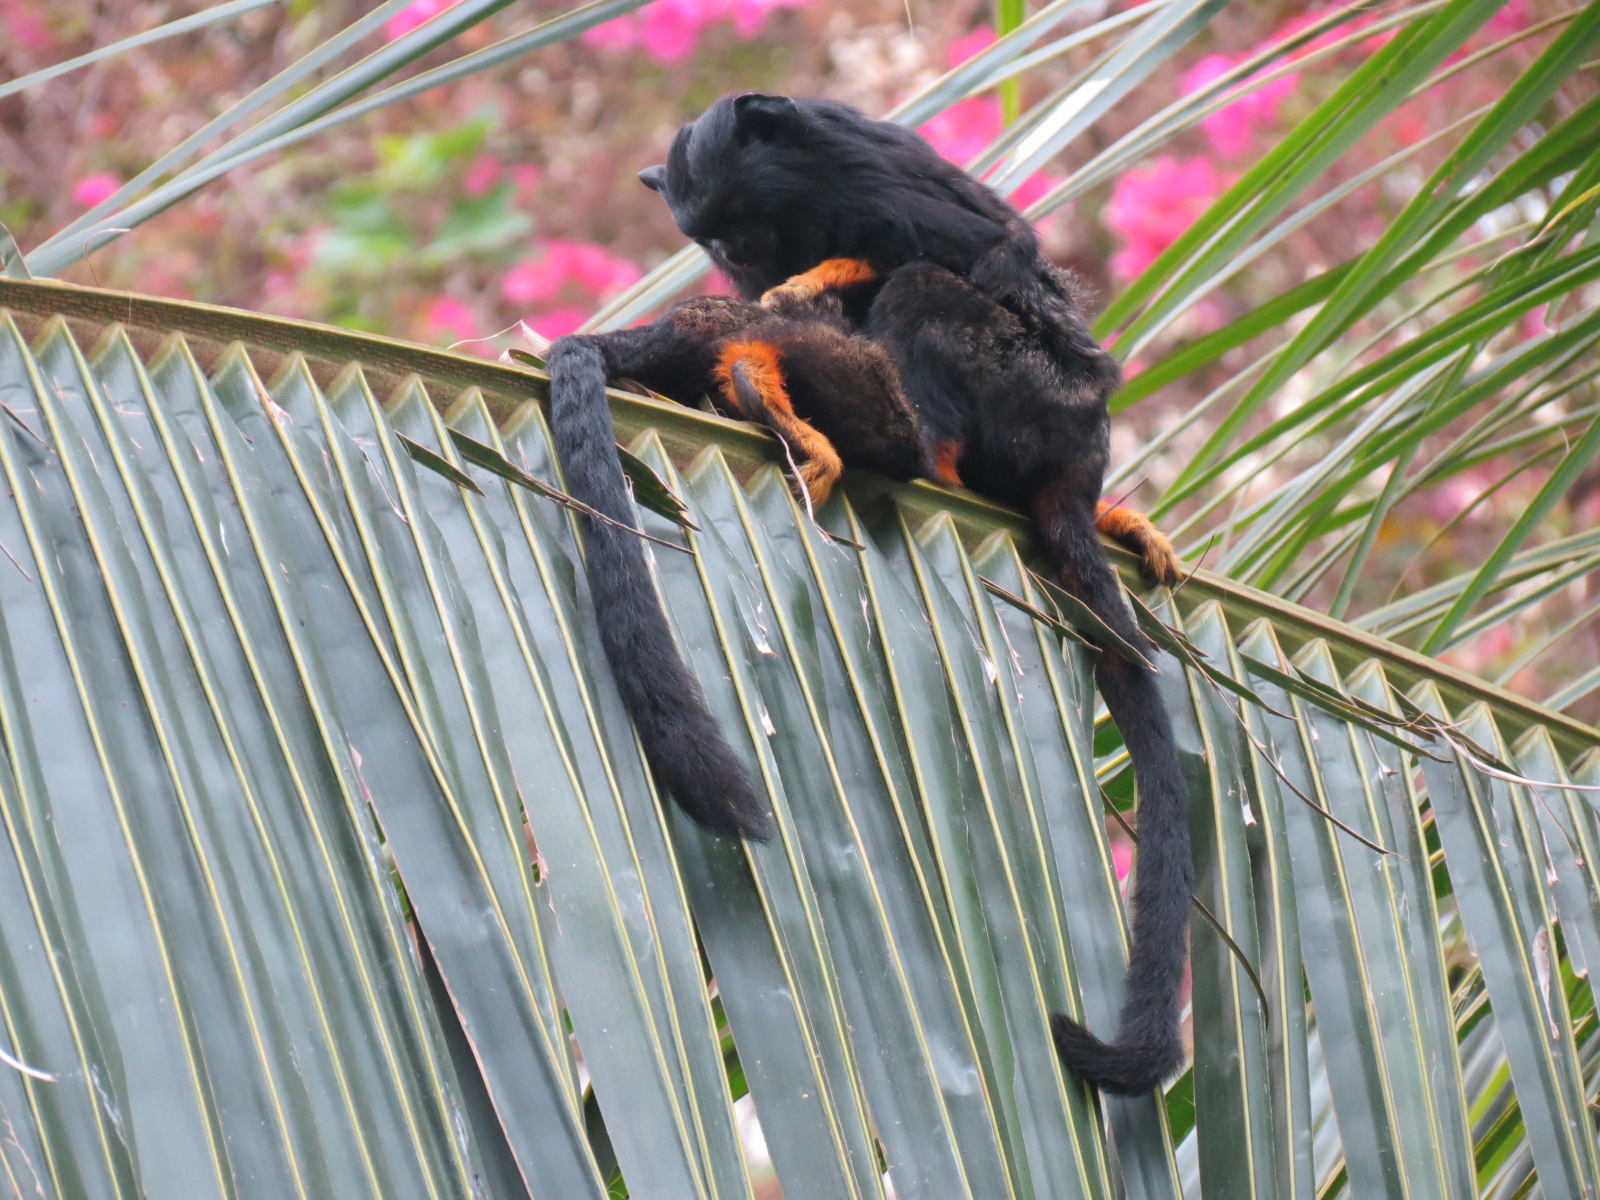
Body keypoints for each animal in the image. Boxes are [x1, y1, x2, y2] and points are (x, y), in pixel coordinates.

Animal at [629, 93, 1193, 1096]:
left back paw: (920, 447)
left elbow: (980, 252)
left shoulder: (866, 173)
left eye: (741, 216)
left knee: (930, 291)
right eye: (714, 235)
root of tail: (1078, 456)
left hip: (1032, 385)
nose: (735, 249)